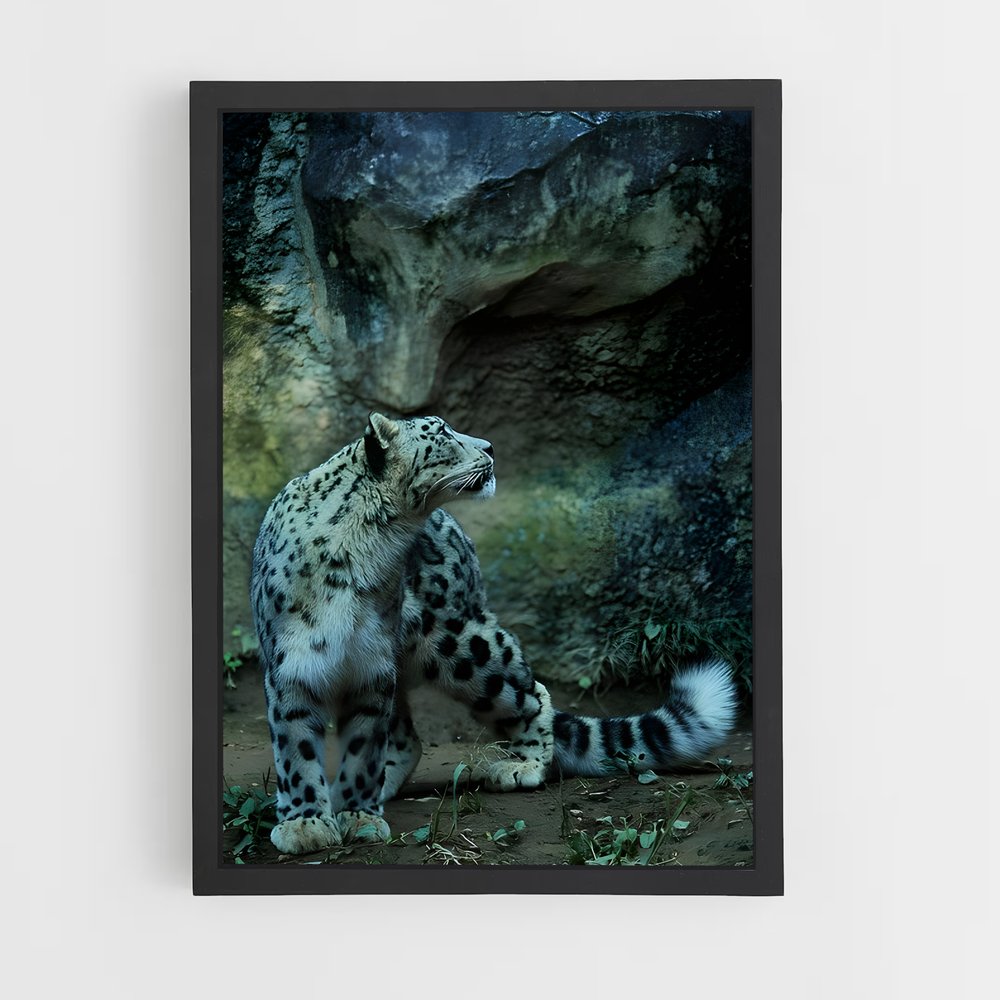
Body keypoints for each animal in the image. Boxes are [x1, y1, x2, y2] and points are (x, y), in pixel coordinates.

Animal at [250, 412, 738, 855]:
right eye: (442, 433)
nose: (488, 446)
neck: (367, 549)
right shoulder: (295, 665)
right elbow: (297, 749)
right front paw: (307, 823)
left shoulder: (370, 669)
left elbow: (363, 747)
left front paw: (356, 815)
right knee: (407, 733)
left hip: (460, 644)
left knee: (529, 691)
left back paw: (523, 765)